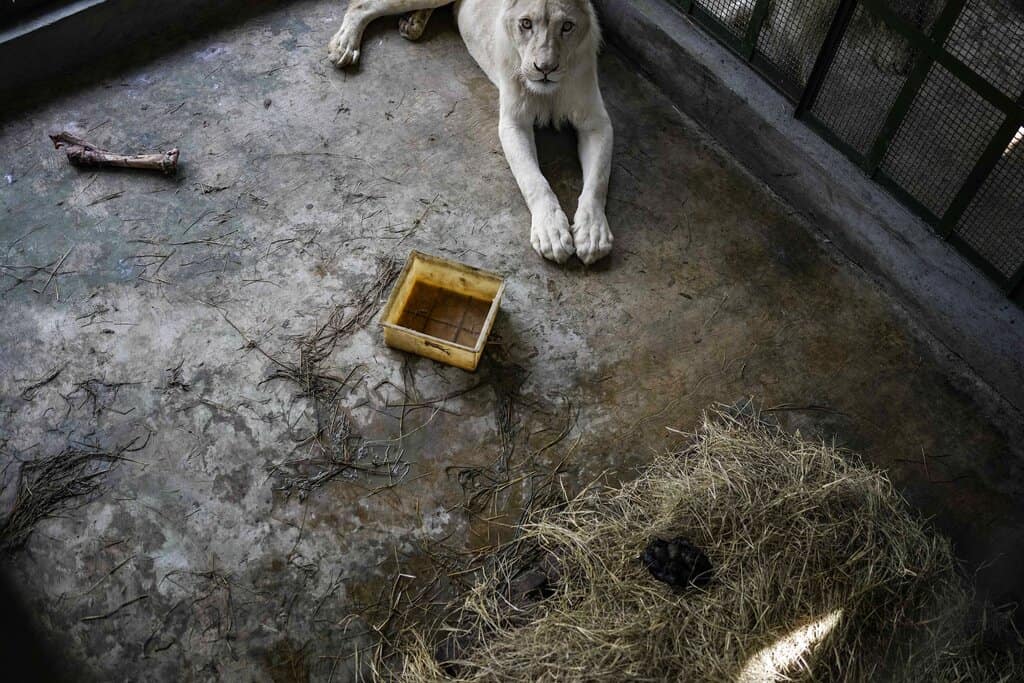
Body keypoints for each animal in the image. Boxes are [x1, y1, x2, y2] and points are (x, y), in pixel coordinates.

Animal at [331, 0, 610, 264]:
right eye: (526, 24)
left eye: (567, 27)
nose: (545, 69)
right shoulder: (513, 123)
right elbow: (533, 180)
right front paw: (551, 232)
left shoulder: (597, 123)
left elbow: (597, 182)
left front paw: (592, 233)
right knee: (361, 5)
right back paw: (344, 46)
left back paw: (413, 24)